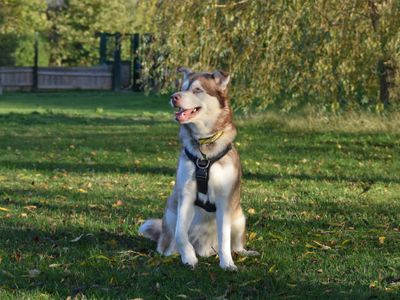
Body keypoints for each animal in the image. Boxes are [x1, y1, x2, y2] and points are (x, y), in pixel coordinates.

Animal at [139, 67, 258, 270]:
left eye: (197, 90)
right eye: (182, 87)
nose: (174, 97)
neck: (204, 147)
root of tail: (205, 249)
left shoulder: (224, 199)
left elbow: (224, 238)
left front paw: (227, 263)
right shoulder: (186, 193)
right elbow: (180, 233)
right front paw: (188, 257)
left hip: (239, 217)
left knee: (235, 245)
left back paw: (243, 252)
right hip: (170, 214)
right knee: (169, 241)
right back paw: (173, 253)